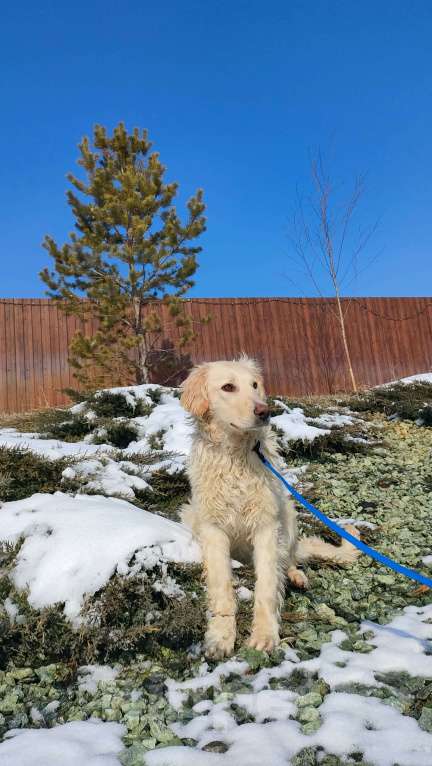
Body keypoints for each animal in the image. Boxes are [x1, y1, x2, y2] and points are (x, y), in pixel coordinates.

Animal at [179, 356, 358, 660]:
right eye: (228, 387)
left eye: (254, 385)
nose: (265, 411)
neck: (237, 455)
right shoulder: (213, 529)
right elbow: (222, 587)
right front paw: (221, 635)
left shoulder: (266, 525)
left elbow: (267, 586)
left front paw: (265, 635)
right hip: (191, 512)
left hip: (288, 513)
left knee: (288, 560)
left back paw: (296, 575)